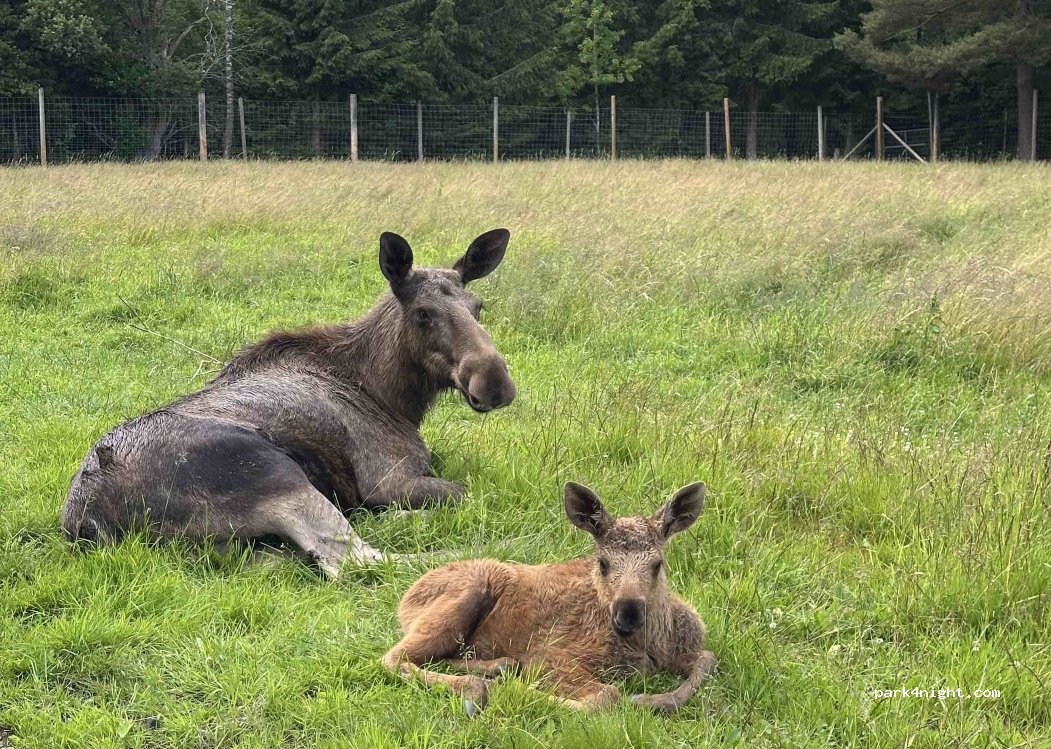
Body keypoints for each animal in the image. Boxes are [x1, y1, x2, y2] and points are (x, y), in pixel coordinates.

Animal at [382, 480, 717, 714]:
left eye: (657, 564)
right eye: (602, 562)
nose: (628, 613)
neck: (651, 645)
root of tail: (405, 600)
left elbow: (708, 659)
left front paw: (656, 699)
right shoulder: (550, 654)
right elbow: (607, 695)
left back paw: (499, 667)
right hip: (466, 594)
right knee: (393, 657)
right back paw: (480, 687)